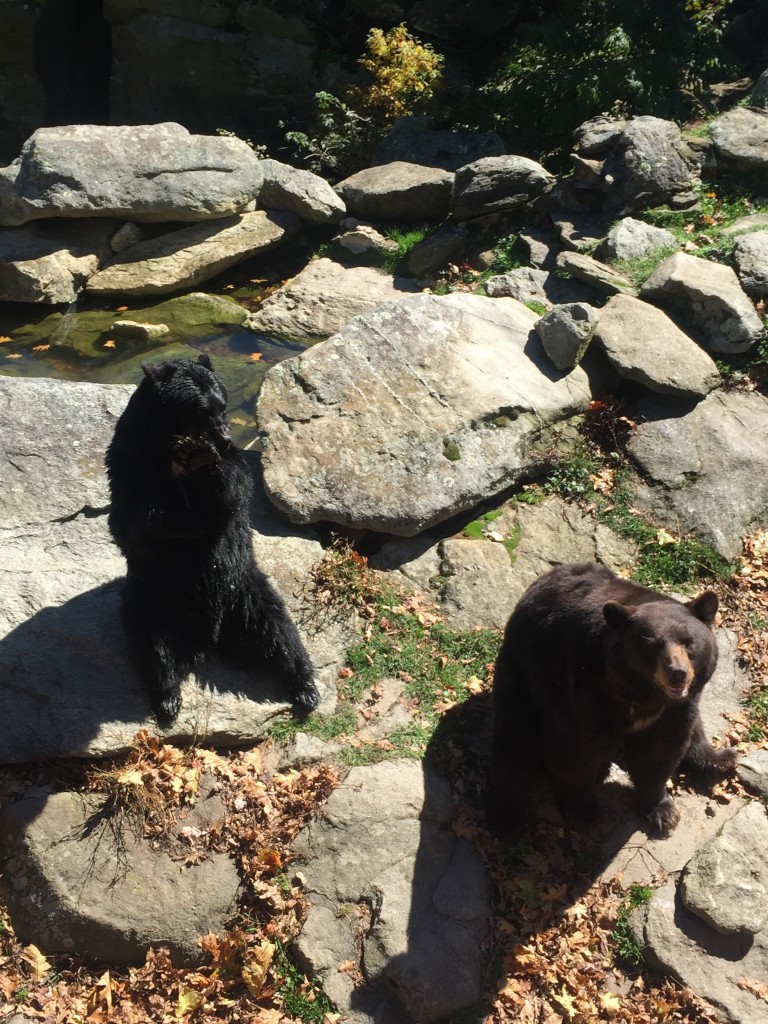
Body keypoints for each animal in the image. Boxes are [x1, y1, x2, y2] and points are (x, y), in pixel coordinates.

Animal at [105, 356, 319, 724]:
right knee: (150, 642)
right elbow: (133, 521)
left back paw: (305, 687)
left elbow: (235, 488)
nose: (225, 433)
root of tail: (210, 634)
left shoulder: (232, 463)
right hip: (152, 594)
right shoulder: (130, 460)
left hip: (247, 590)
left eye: (223, 405)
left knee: (281, 633)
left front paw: (205, 463)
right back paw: (166, 698)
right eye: (201, 410)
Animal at [487, 561, 741, 839]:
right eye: (653, 644)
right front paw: (583, 810)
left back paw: (720, 759)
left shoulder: (673, 710)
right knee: (515, 741)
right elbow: (573, 752)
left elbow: (662, 750)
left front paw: (661, 811)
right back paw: (507, 820)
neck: (643, 695)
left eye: (689, 642)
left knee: (695, 730)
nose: (677, 672)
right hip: (520, 674)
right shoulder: (585, 694)